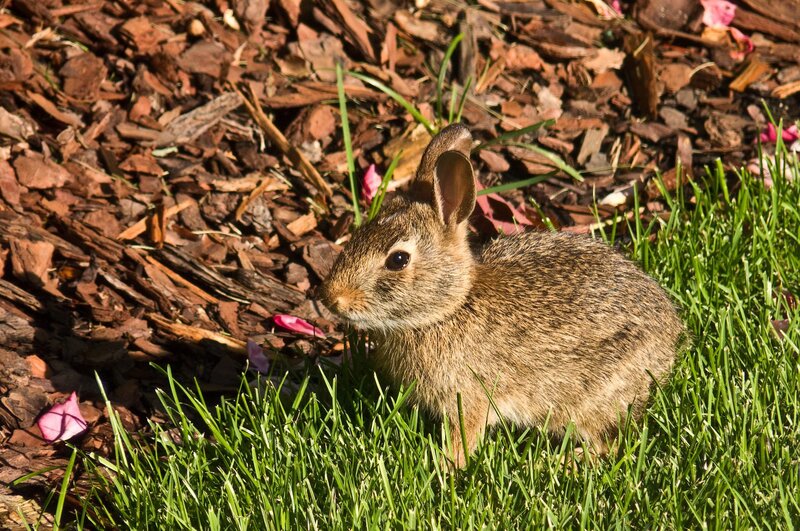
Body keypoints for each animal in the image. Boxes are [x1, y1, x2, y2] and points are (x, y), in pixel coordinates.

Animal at [319, 124, 687, 468]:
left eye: (397, 260)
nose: (331, 298)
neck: (450, 307)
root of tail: (671, 338)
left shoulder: (469, 396)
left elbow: (465, 434)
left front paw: (447, 466)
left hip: (588, 398)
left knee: (606, 445)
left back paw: (556, 462)